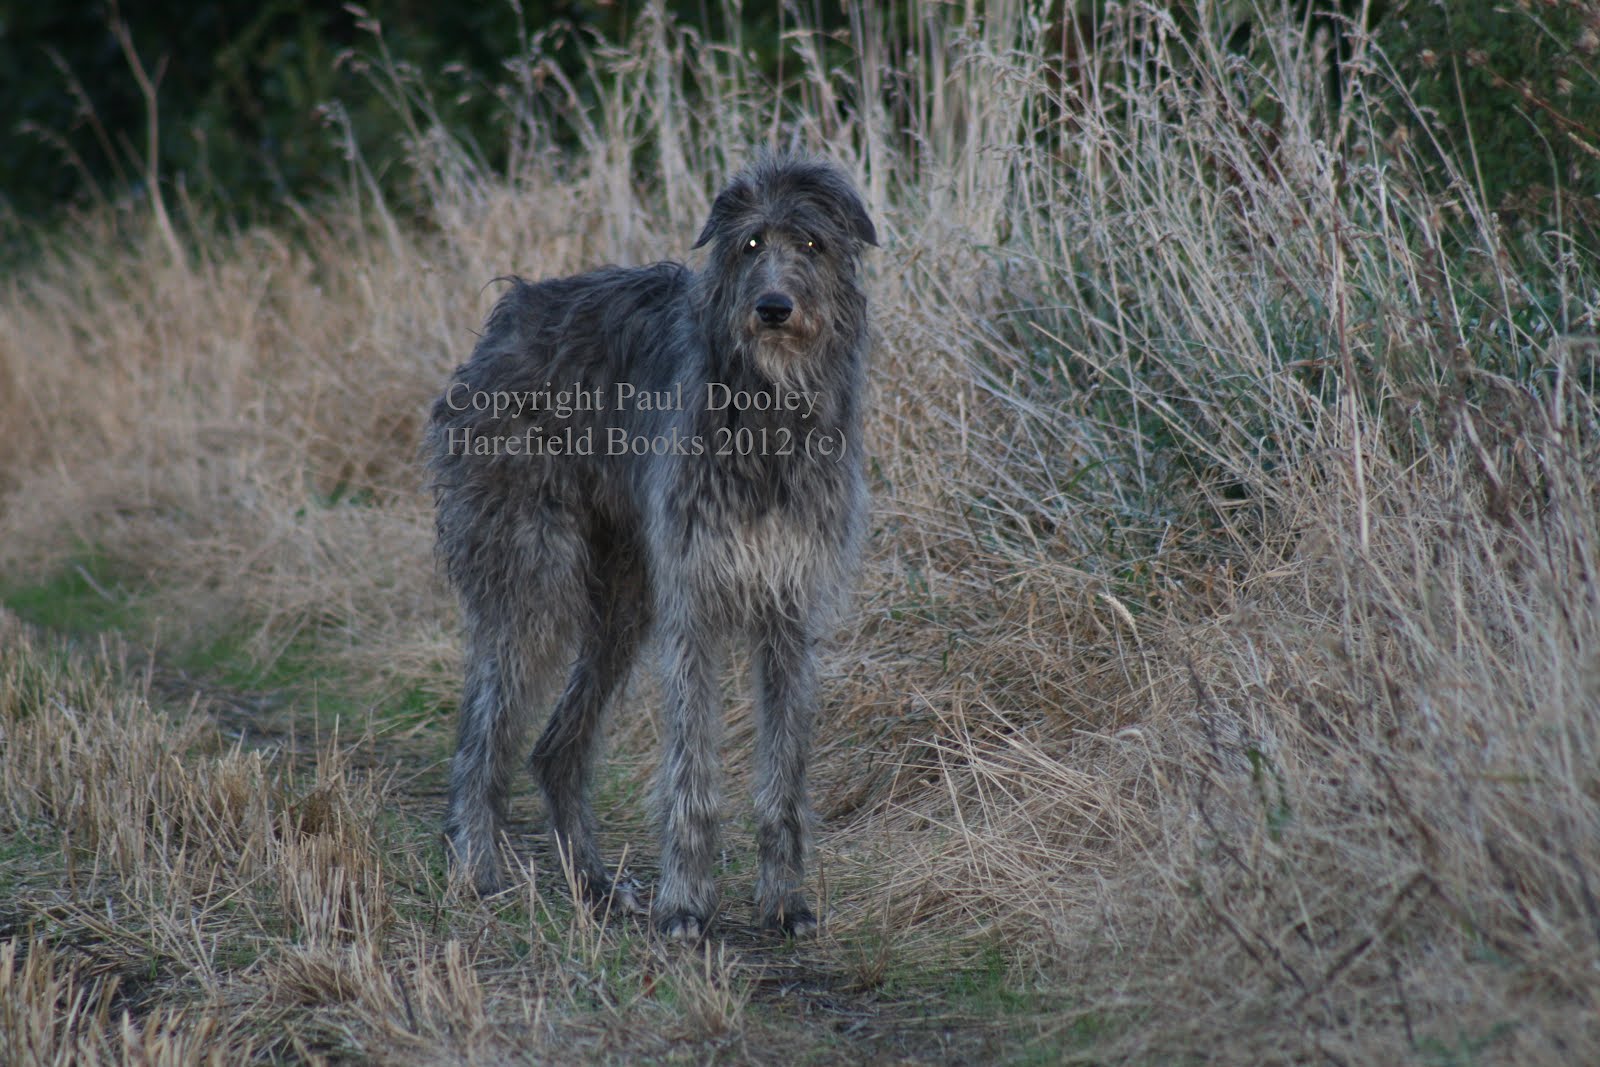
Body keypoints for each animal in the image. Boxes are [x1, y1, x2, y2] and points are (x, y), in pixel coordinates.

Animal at [425, 154, 876, 940]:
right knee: (484, 733)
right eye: (751, 244)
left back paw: (594, 883)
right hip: (533, 574)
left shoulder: (790, 610)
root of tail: (512, 313)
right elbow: (691, 768)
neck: (767, 410)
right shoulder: (694, 602)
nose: (774, 309)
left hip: (625, 597)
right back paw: (476, 869)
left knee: (557, 747)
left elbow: (785, 771)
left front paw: (784, 901)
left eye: (812, 243)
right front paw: (686, 903)